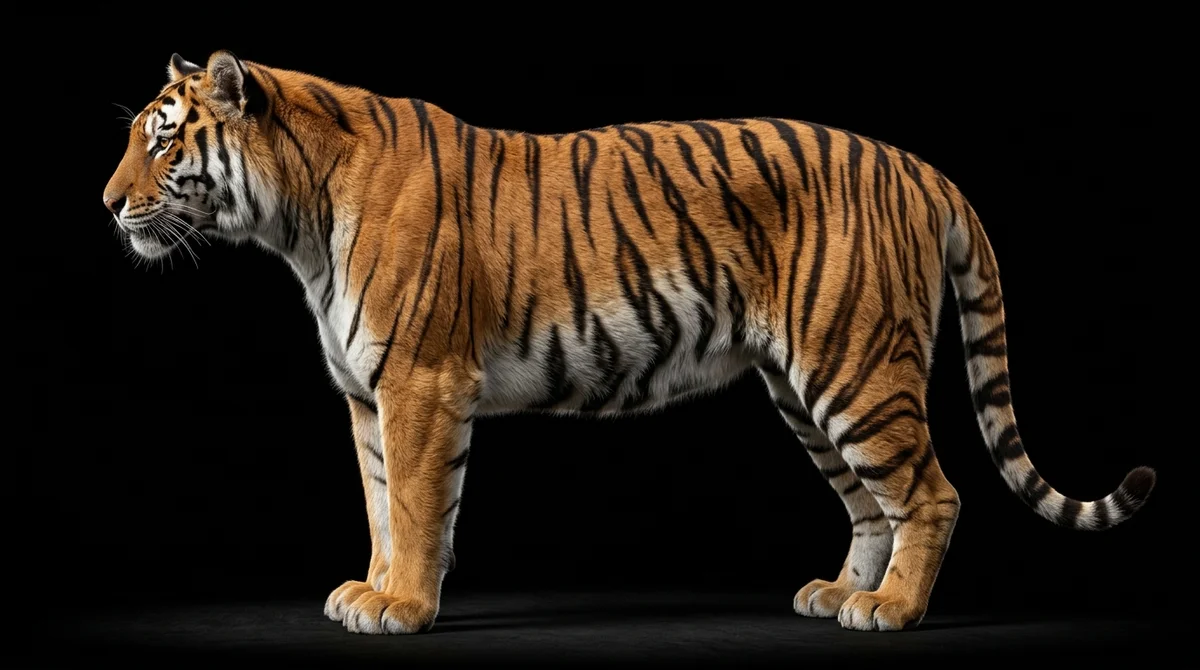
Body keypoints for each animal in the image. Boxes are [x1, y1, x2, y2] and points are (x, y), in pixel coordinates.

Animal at [103, 50, 1156, 634]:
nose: (107, 204)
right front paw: (370, 589)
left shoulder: (419, 385)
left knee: (931, 495)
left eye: (162, 141)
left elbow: (415, 504)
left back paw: (892, 611)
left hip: (856, 368)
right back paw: (837, 594)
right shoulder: (368, 396)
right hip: (801, 387)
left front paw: (401, 607)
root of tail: (920, 166)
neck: (295, 223)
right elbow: (379, 505)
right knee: (871, 504)